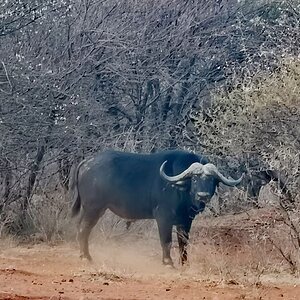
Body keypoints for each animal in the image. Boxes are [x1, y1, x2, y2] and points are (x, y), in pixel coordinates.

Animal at [70, 149, 244, 264]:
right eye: (194, 179)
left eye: (211, 180)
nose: (203, 195)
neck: (179, 189)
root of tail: (86, 163)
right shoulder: (163, 218)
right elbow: (166, 241)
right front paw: (168, 262)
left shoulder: (185, 221)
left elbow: (183, 243)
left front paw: (184, 263)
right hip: (94, 208)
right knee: (83, 229)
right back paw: (87, 257)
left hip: (89, 209)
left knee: (79, 227)